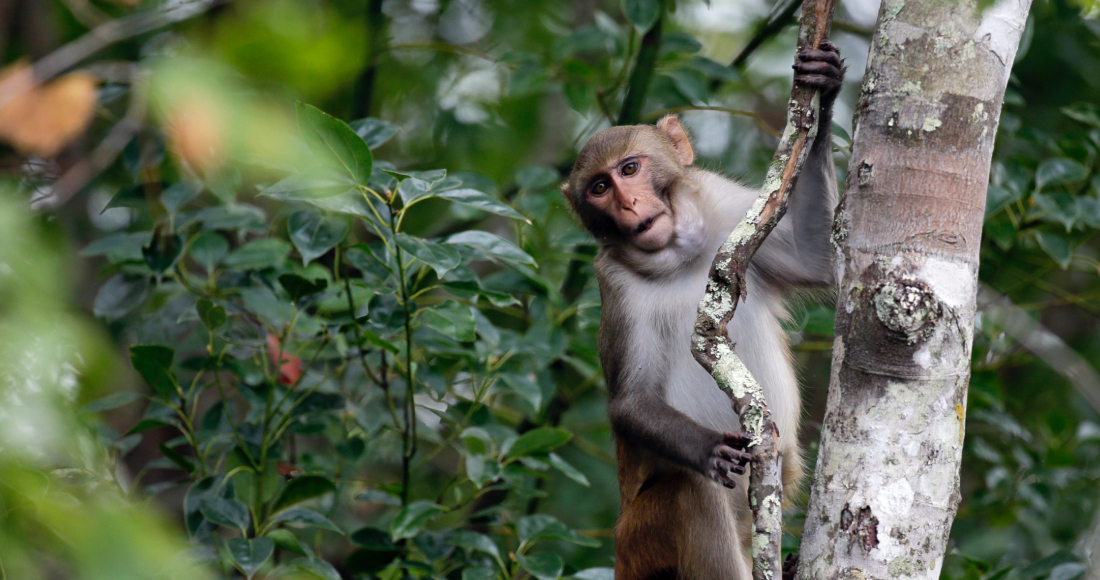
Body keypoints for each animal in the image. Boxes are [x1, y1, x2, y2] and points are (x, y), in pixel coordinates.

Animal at [563, 42, 844, 580]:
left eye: (629, 170)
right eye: (599, 189)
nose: (629, 205)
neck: (680, 257)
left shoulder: (729, 207)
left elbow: (818, 258)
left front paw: (824, 89)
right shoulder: (616, 286)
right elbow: (631, 401)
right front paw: (708, 448)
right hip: (640, 541)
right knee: (691, 492)